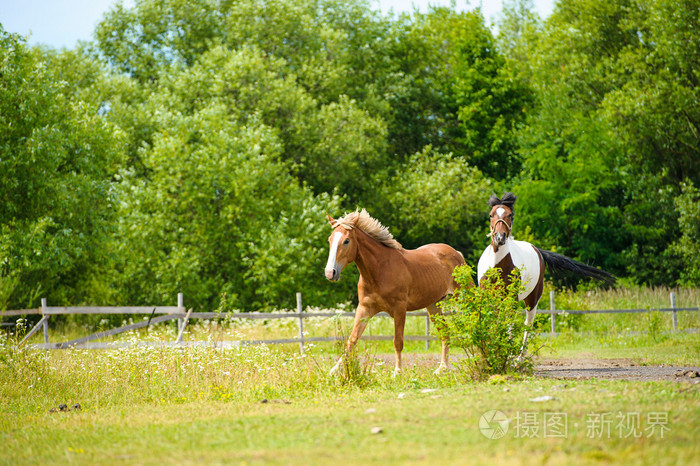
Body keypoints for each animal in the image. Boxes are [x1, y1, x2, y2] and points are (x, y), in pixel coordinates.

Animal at [326, 210, 468, 374]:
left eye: (346, 241)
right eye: (330, 240)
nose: (330, 273)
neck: (379, 270)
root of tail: (456, 253)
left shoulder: (399, 309)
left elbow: (398, 341)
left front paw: (397, 372)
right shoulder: (364, 309)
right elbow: (352, 340)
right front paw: (333, 371)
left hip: (464, 297)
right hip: (434, 306)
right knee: (445, 334)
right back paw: (442, 368)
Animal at [478, 192, 616, 350]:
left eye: (510, 215)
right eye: (491, 215)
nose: (500, 237)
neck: (497, 267)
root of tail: (537, 250)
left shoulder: (511, 299)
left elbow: (509, 328)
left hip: (532, 299)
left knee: (528, 324)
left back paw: (520, 355)